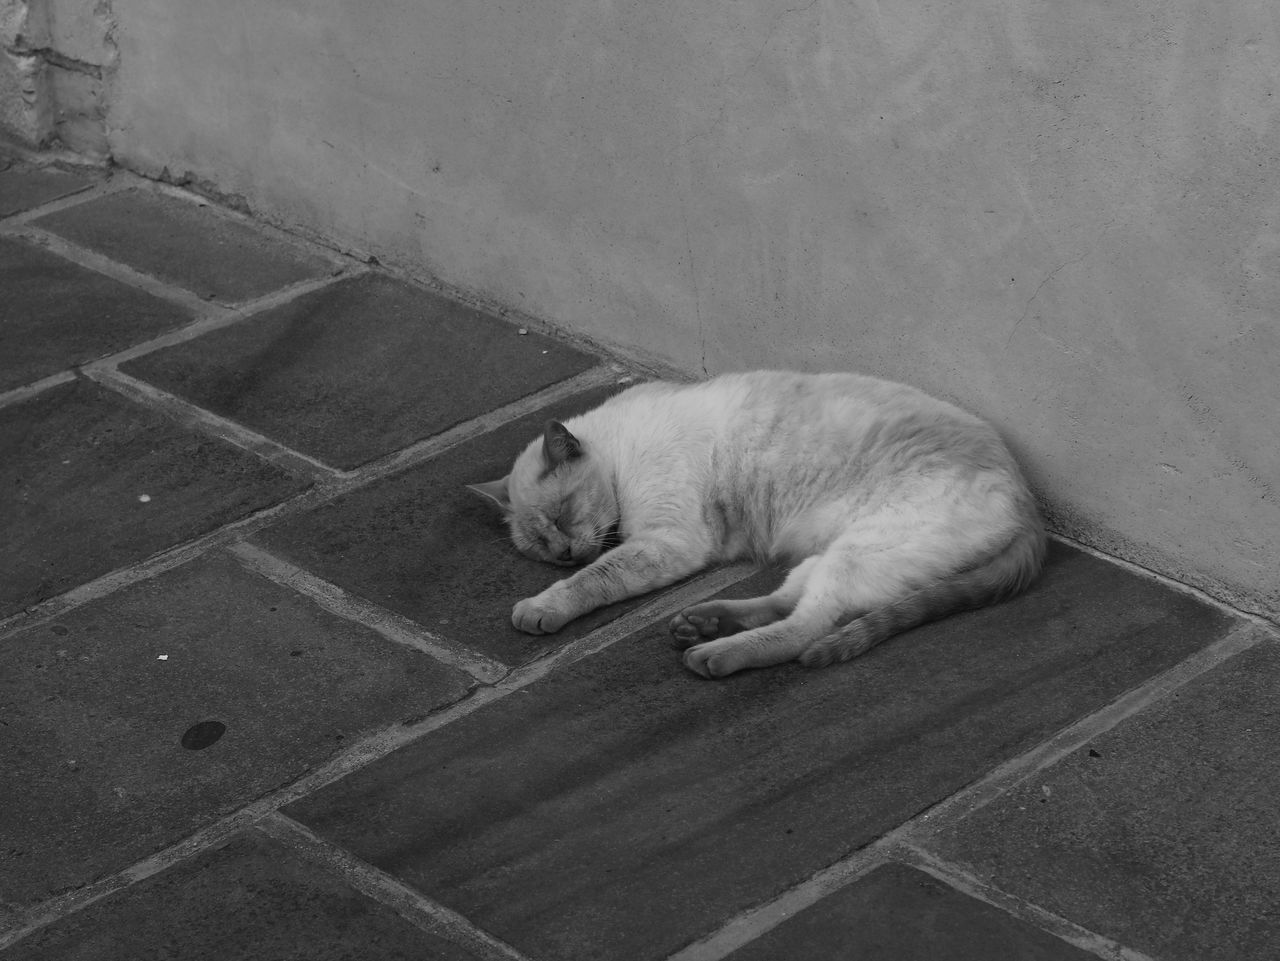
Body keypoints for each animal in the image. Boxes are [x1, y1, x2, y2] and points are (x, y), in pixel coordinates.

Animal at [465, 368, 1044, 675]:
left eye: (562, 517)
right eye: (540, 545)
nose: (563, 553)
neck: (619, 450)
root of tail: (1031, 505)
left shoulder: (667, 541)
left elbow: (593, 578)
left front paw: (540, 607)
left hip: (860, 552)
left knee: (806, 628)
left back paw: (713, 654)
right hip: (833, 554)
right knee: (788, 602)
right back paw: (701, 623)